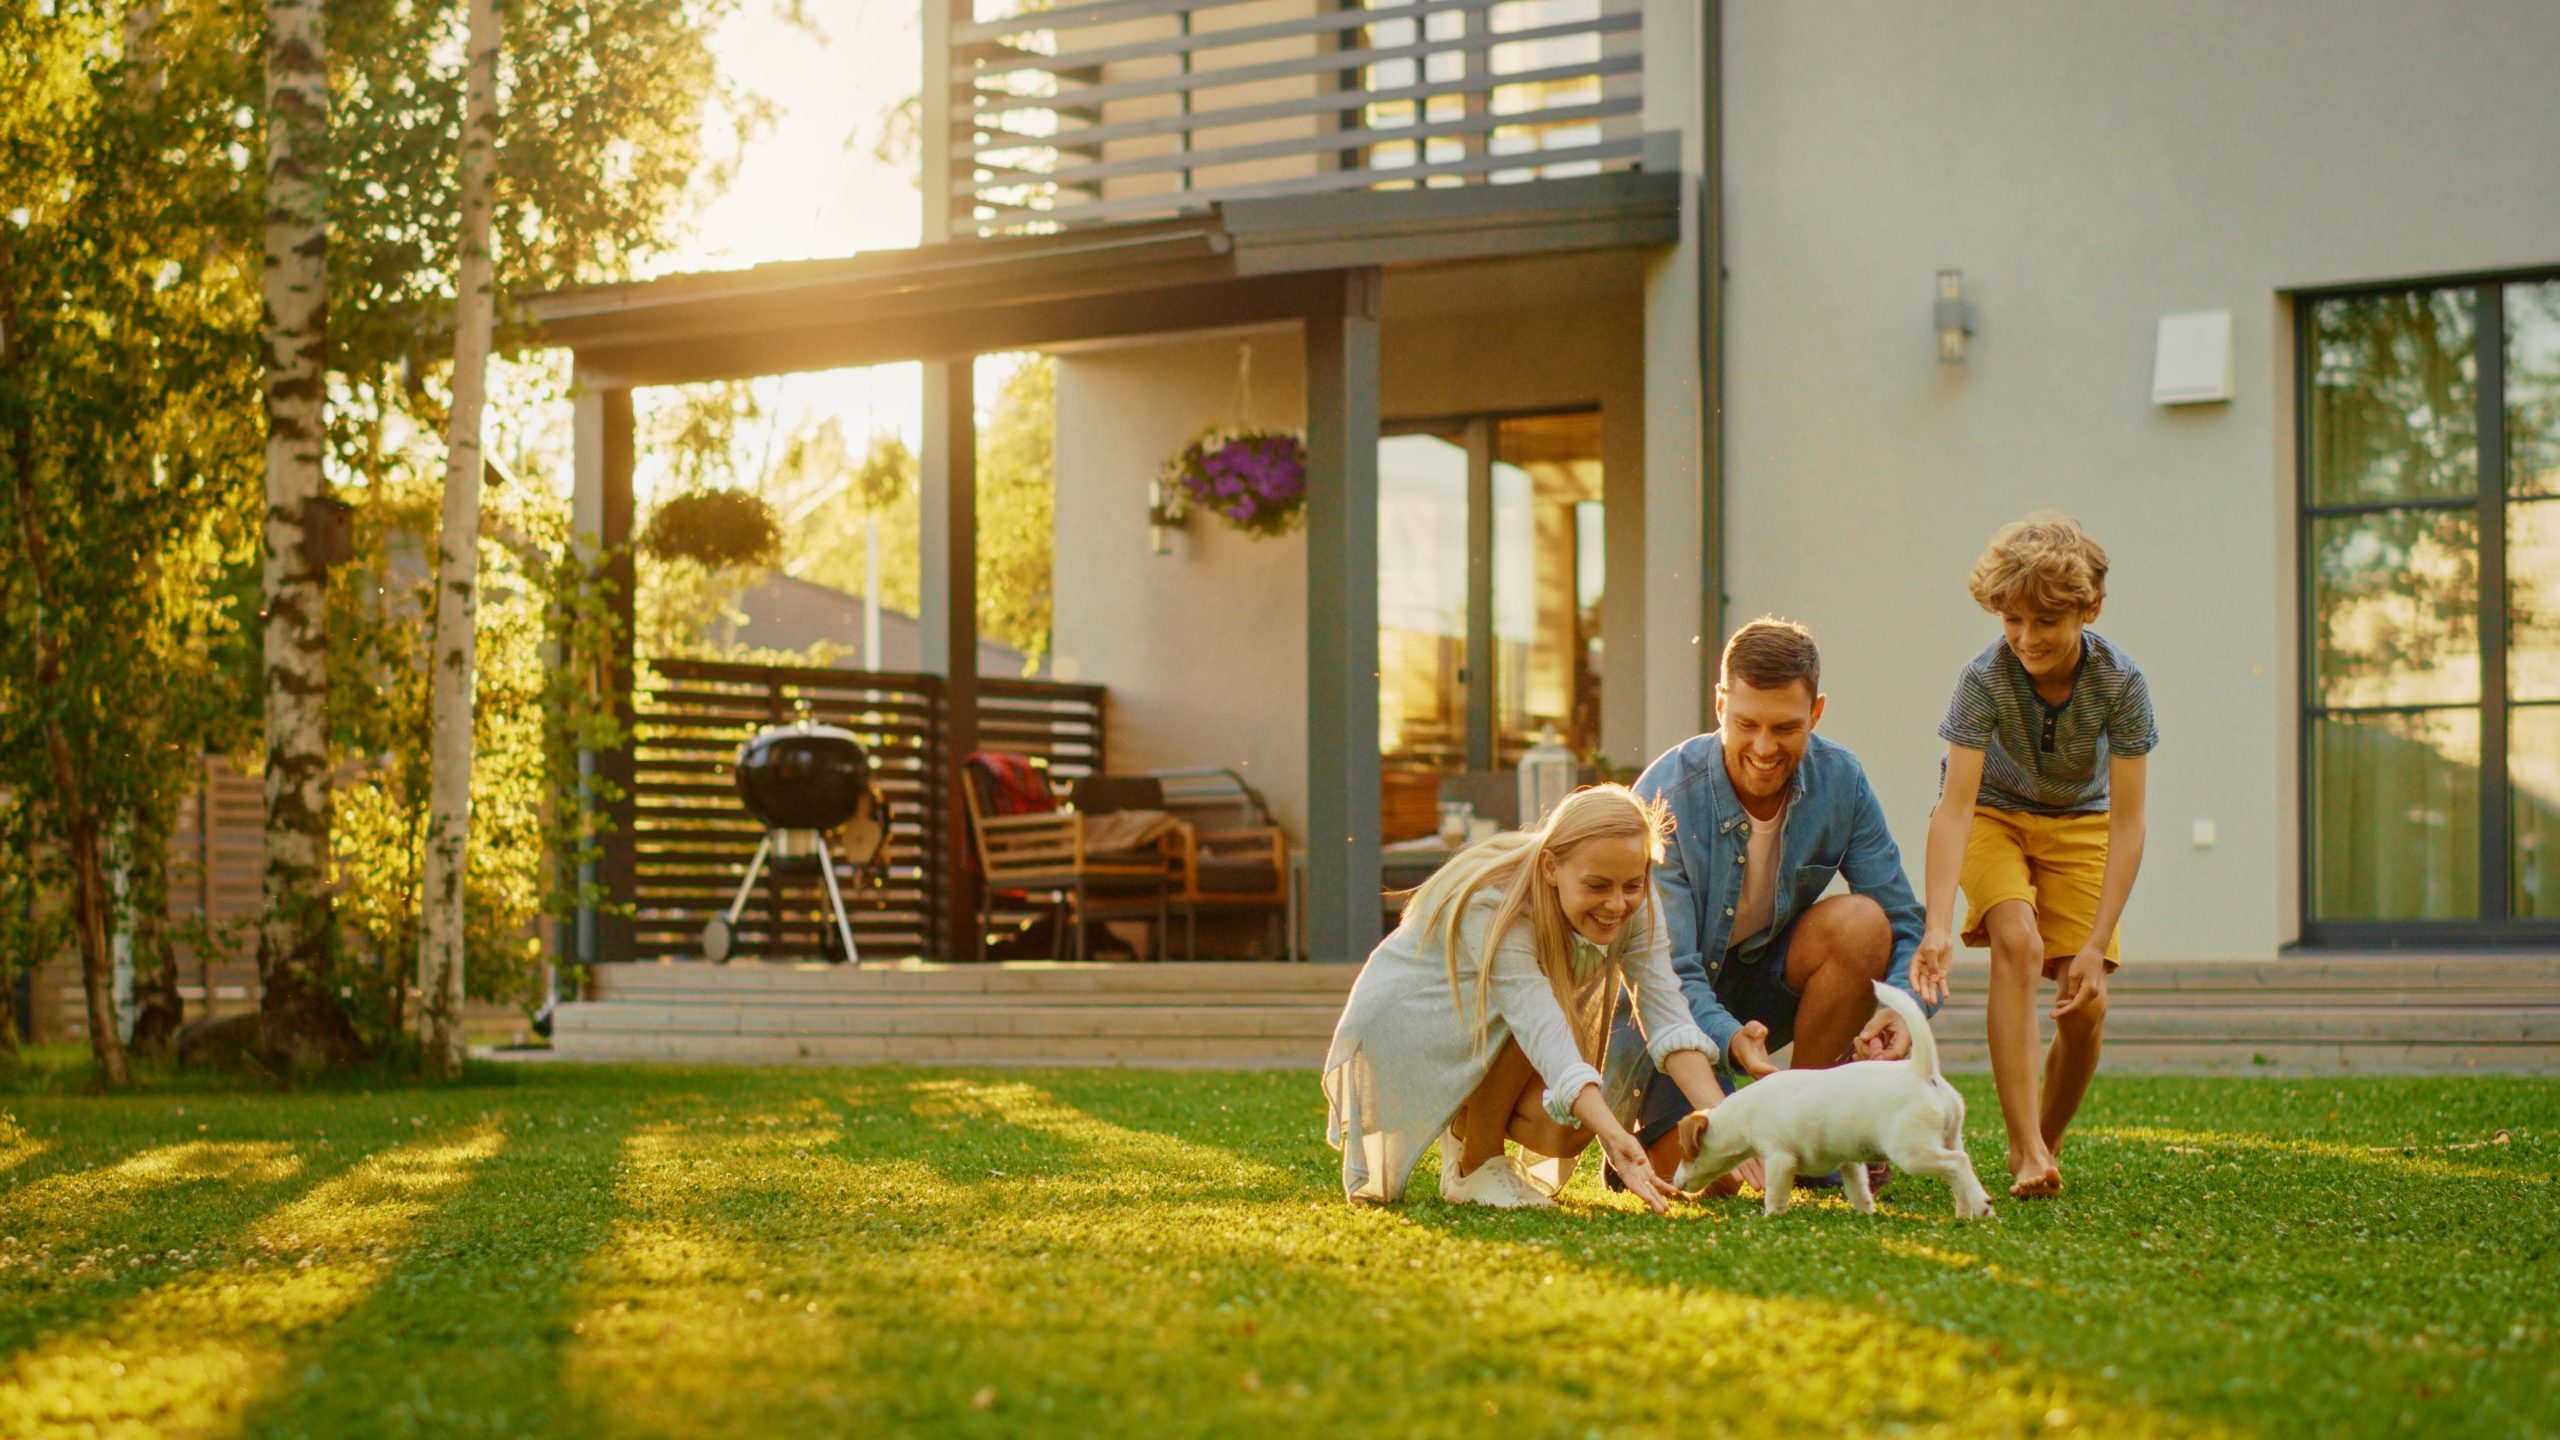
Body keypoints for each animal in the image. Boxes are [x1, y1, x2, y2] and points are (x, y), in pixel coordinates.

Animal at [1669, 973, 2007, 1209]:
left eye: (1685, 1152)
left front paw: (1771, 1215)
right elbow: (1858, 1189)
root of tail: (1922, 1072)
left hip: (1912, 1151)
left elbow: (1775, 1193)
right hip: (1949, 1137)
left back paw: (1981, 1206)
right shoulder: (1849, 1161)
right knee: (1959, 1172)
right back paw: (1966, 1211)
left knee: (1957, 1164)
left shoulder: (1779, 1158)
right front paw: (1865, 1212)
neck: (1743, 1113)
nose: (1673, 1184)